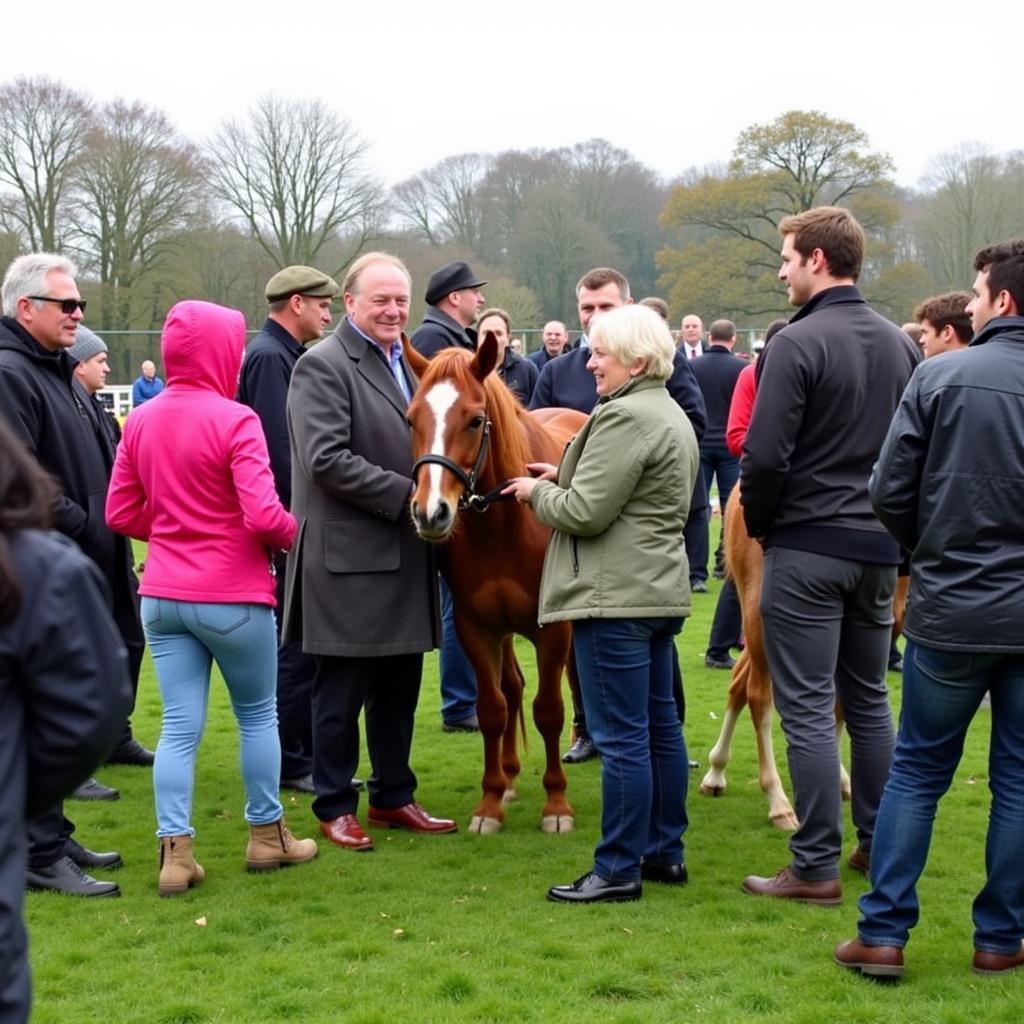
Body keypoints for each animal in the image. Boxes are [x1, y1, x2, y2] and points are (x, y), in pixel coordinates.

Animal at [405, 333, 589, 831]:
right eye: (411, 419)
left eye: (474, 420)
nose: (431, 512)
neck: (504, 523)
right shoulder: (477, 627)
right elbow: (493, 708)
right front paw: (489, 801)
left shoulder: (553, 629)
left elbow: (549, 710)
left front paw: (557, 804)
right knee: (512, 687)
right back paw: (507, 776)